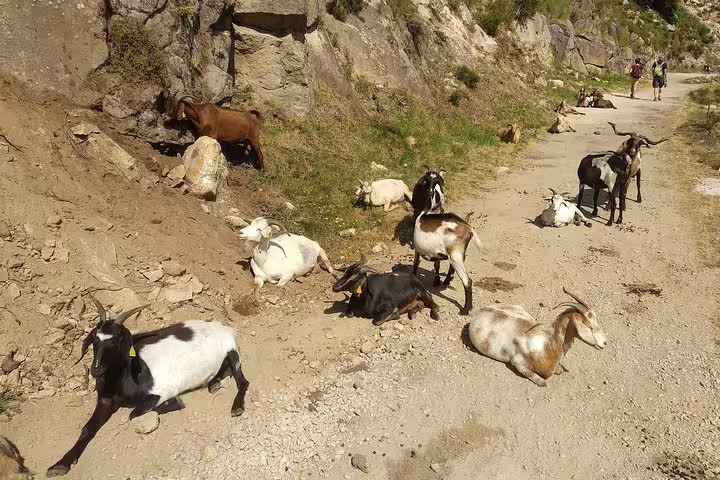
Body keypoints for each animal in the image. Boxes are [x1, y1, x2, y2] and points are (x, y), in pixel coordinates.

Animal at [47, 299, 249, 476]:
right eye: (95, 339)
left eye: (116, 341)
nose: (96, 369)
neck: (127, 377)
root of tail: (220, 325)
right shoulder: (105, 400)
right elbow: (87, 429)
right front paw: (60, 464)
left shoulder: (160, 391)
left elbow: (133, 414)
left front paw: (174, 403)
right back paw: (213, 383)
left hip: (231, 350)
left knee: (242, 380)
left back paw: (236, 406)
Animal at [468, 287, 607, 387]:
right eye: (590, 326)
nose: (604, 343)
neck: (547, 344)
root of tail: (482, 309)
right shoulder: (518, 363)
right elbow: (542, 382)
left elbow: (559, 370)